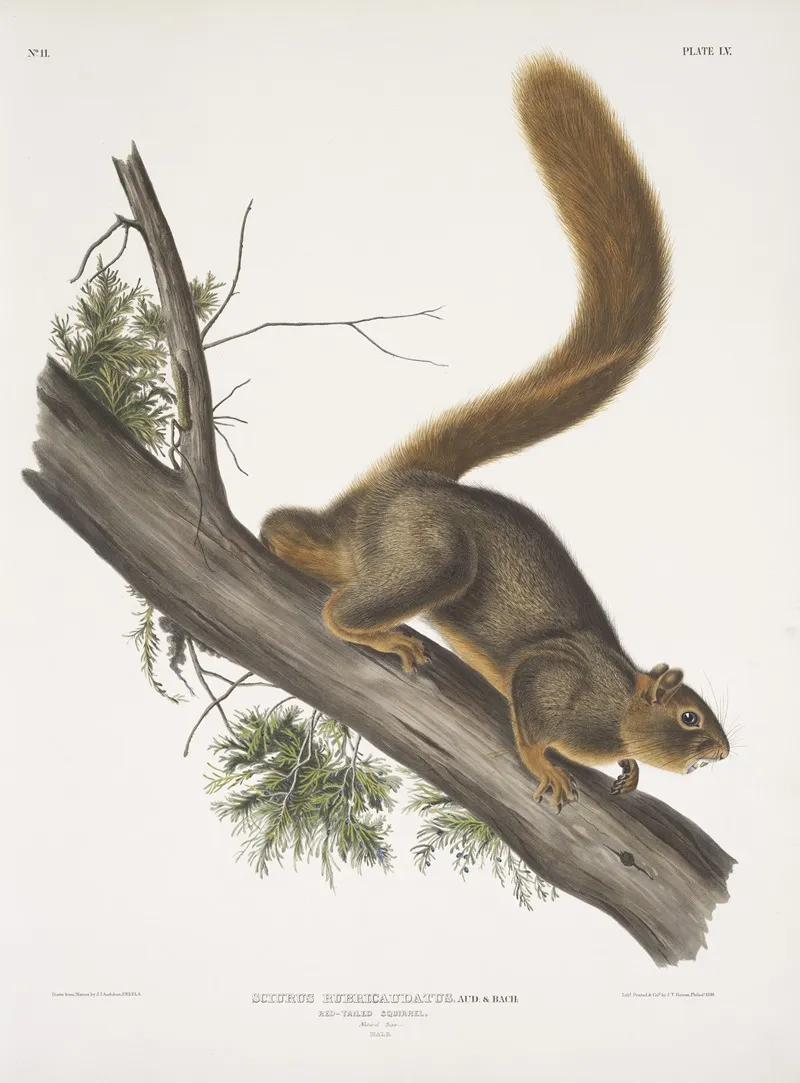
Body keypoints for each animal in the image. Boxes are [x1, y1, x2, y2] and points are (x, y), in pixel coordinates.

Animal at [260, 54, 730, 809]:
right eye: (690, 716)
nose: (724, 748)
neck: (617, 699)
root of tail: (397, 486)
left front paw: (627, 769)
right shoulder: (550, 679)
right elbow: (533, 714)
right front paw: (547, 764)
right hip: (431, 556)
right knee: (337, 603)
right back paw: (381, 634)